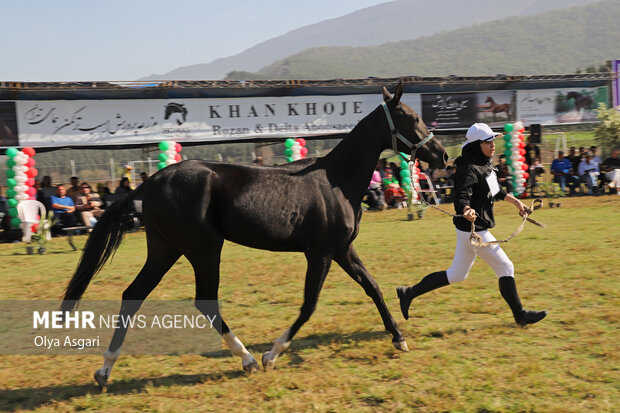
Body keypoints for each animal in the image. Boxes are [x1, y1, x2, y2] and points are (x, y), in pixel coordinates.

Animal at [61, 82, 446, 384]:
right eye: (412, 118)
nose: (441, 154)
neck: (336, 181)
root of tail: (151, 182)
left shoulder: (342, 250)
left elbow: (373, 287)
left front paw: (399, 337)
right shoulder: (320, 252)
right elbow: (309, 305)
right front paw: (271, 356)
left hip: (165, 248)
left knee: (133, 295)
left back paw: (105, 370)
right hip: (203, 248)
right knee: (204, 299)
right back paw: (246, 359)